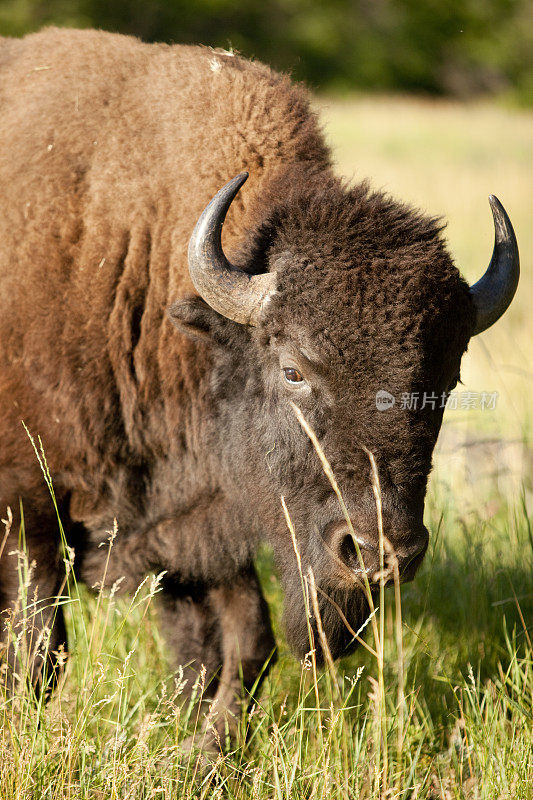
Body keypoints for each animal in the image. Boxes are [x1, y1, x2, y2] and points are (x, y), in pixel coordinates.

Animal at [0, 26, 516, 744]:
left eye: (448, 377)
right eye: (292, 368)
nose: (379, 553)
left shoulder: (199, 528)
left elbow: (242, 643)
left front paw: (202, 746)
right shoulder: (28, 508)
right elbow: (37, 648)